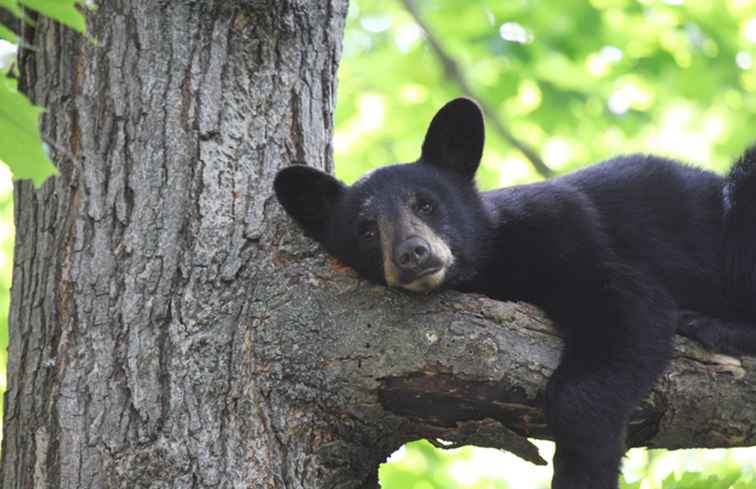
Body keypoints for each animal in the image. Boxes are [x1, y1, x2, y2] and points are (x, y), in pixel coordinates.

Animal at [274, 98, 756, 488]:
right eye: (367, 230)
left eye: (426, 204)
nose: (413, 253)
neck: (494, 263)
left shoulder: (568, 231)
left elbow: (632, 307)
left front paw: (584, 470)